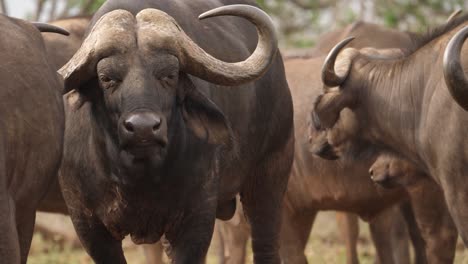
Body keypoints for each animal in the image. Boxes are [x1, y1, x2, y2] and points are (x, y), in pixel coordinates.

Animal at [56, 1, 292, 262]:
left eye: (169, 75)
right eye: (106, 78)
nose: (143, 128)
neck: (136, 176)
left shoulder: (197, 217)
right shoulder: (88, 224)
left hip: (271, 172)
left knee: (265, 241)